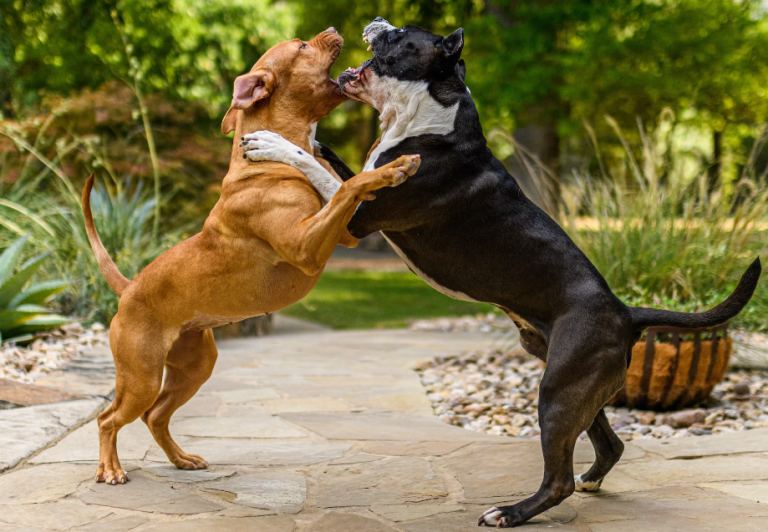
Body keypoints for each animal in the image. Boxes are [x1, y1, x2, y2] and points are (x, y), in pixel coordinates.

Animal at [81, 30, 420, 486]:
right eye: (301, 46)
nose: (332, 31)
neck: (262, 165)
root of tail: (129, 287)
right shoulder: (306, 246)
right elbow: (351, 185)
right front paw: (393, 166)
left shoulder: (345, 231)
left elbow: (343, 183)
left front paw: (392, 163)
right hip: (141, 377)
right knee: (109, 418)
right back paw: (111, 469)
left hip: (195, 366)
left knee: (155, 416)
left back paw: (181, 460)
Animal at [243, 17, 760, 528]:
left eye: (403, 32)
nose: (377, 20)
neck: (429, 119)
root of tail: (626, 311)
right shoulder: (361, 186)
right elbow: (332, 160)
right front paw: (307, 137)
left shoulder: (355, 220)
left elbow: (321, 171)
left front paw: (272, 141)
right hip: (572, 382)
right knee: (609, 443)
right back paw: (591, 480)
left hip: (558, 392)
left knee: (558, 481)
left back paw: (511, 512)